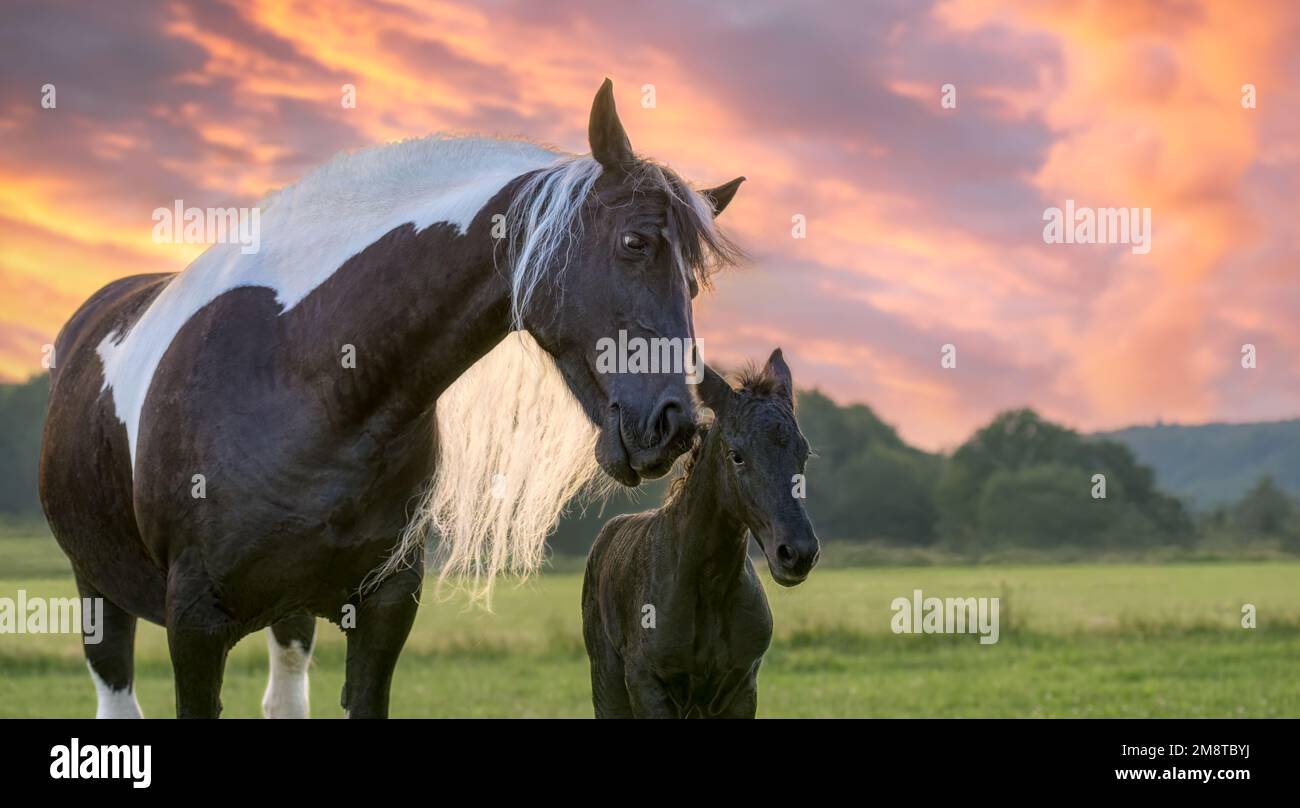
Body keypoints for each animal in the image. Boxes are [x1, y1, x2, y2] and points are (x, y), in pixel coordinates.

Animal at [40, 79, 748, 717]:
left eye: (693, 280)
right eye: (635, 243)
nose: (673, 425)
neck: (308, 381)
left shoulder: (383, 609)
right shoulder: (195, 623)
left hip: (287, 615)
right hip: (96, 589)